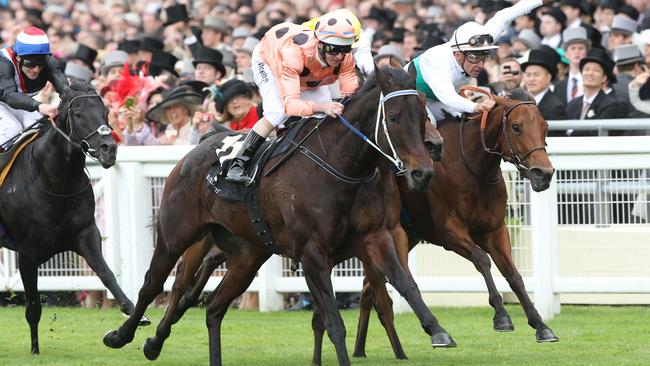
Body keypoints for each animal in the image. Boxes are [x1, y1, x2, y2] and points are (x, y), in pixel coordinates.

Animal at [0, 81, 142, 354]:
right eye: (78, 114)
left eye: (106, 112)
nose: (109, 149)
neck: (55, 180)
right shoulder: (27, 252)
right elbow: (33, 306)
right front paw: (35, 350)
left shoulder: (86, 233)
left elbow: (107, 274)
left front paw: (131, 313)